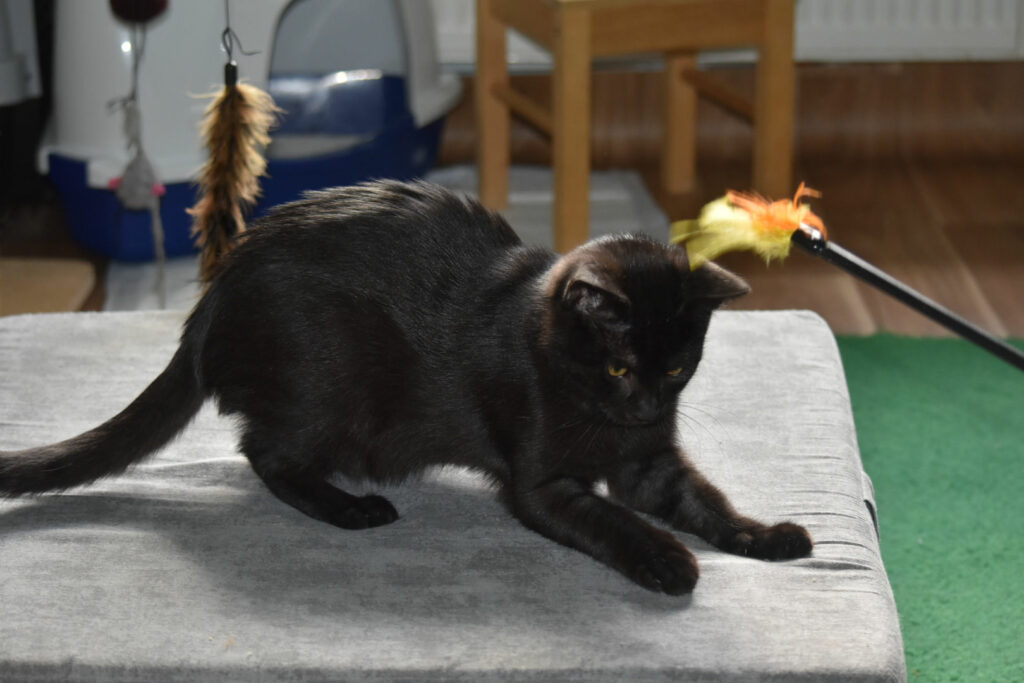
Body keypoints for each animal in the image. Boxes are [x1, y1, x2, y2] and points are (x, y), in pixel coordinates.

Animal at [2, 180, 815, 593]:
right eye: (618, 368)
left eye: (676, 369)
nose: (646, 406)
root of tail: (212, 296)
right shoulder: (543, 484)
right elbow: (614, 520)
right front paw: (668, 560)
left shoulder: (651, 462)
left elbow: (703, 501)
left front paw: (766, 535)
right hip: (328, 387)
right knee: (264, 453)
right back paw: (352, 507)